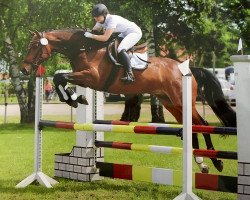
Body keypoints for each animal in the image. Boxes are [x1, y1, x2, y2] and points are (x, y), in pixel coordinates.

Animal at [21, 28, 224, 173]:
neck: (85, 49)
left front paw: (75, 98)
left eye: (35, 46)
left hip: (182, 101)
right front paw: (75, 98)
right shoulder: (83, 77)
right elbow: (59, 78)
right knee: (191, 127)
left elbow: (59, 77)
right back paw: (202, 163)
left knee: (202, 124)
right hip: (171, 103)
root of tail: (187, 69)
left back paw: (217, 162)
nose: (24, 69)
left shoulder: (91, 78)